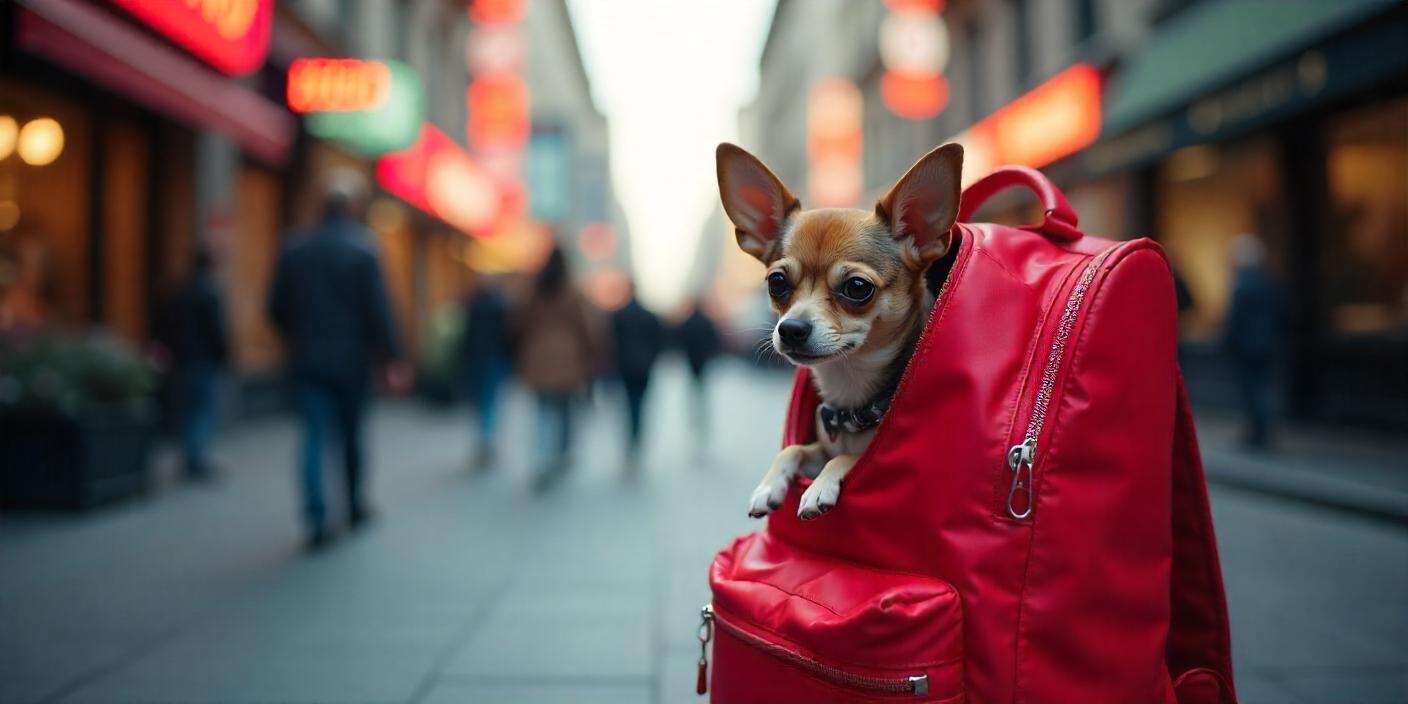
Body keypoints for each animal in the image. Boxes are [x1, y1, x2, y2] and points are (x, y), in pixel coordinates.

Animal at [720, 142, 963, 520]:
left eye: (858, 287)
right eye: (777, 283)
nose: (791, 328)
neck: (848, 392)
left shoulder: (873, 461)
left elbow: (849, 457)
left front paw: (818, 488)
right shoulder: (819, 447)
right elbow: (795, 449)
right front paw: (769, 486)